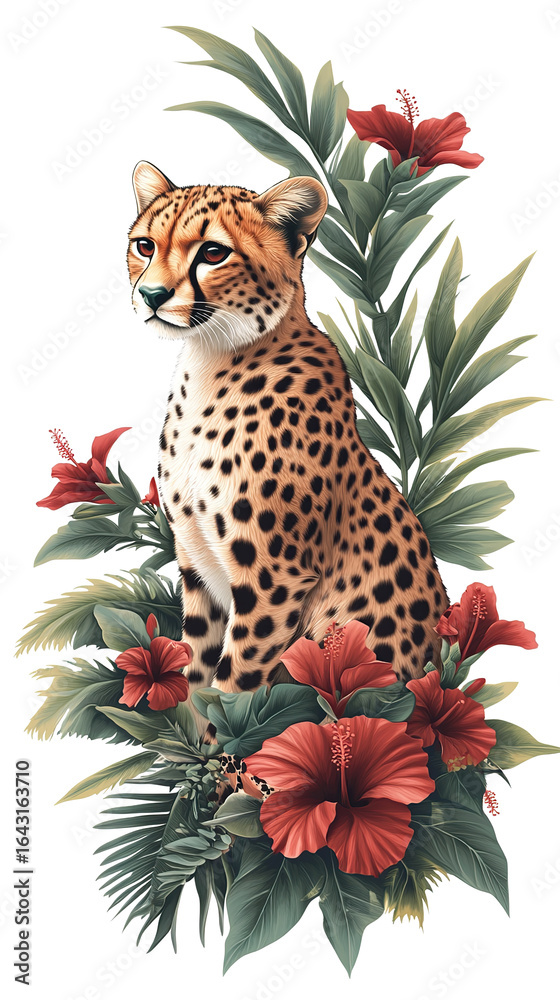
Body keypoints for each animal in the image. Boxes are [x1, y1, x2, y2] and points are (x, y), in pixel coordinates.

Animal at [127, 160, 448, 701]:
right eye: (145, 245)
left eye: (213, 253)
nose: (151, 295)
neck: (210, 359)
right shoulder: (197, 567)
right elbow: (196, 672)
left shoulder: (274, 579)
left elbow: (232, 686)